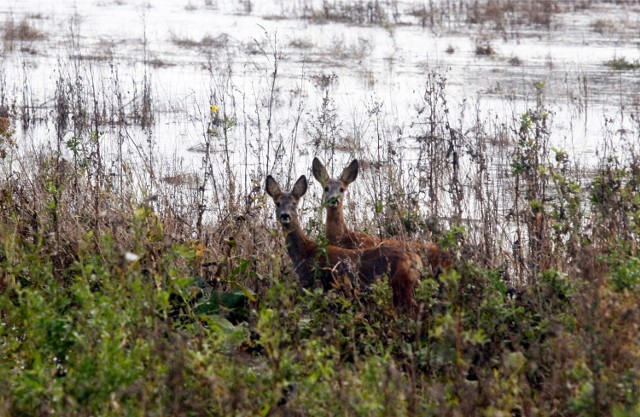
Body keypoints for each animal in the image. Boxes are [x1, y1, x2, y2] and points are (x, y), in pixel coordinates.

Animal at [266, 173, 424, 312]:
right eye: (277, 203)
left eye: (294, 203)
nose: (285, 215)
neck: (304, 253)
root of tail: (415, 260)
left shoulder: (308, 284)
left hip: (401, 287)